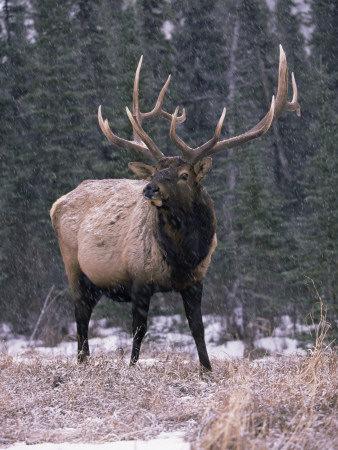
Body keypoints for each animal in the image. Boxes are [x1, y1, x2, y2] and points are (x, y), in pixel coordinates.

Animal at [50, 45, 302, 370]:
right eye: (156, 172)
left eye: (184, 175)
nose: (149, 188)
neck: (183, 254)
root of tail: (56, 204)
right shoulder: (139, 278)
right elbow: (139, 329)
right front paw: (132, 367)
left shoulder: (196, 280)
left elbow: (198, 328)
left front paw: (207, 370)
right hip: (74, 266)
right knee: (81, 315)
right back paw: (81, 362)